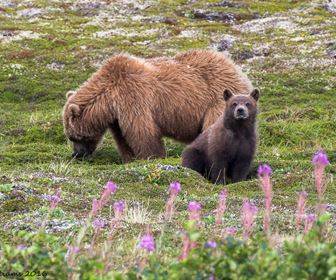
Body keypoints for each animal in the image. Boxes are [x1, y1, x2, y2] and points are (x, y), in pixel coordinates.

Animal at [62, 49, 252, 161]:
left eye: (74, 137)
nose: (76, 154)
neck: (109, 99)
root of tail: (237, 70)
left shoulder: (134, 97)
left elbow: (143, 132)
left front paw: (152, 156)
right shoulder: (117, 116)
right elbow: (122, 138)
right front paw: (129, 158)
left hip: (216, 101)